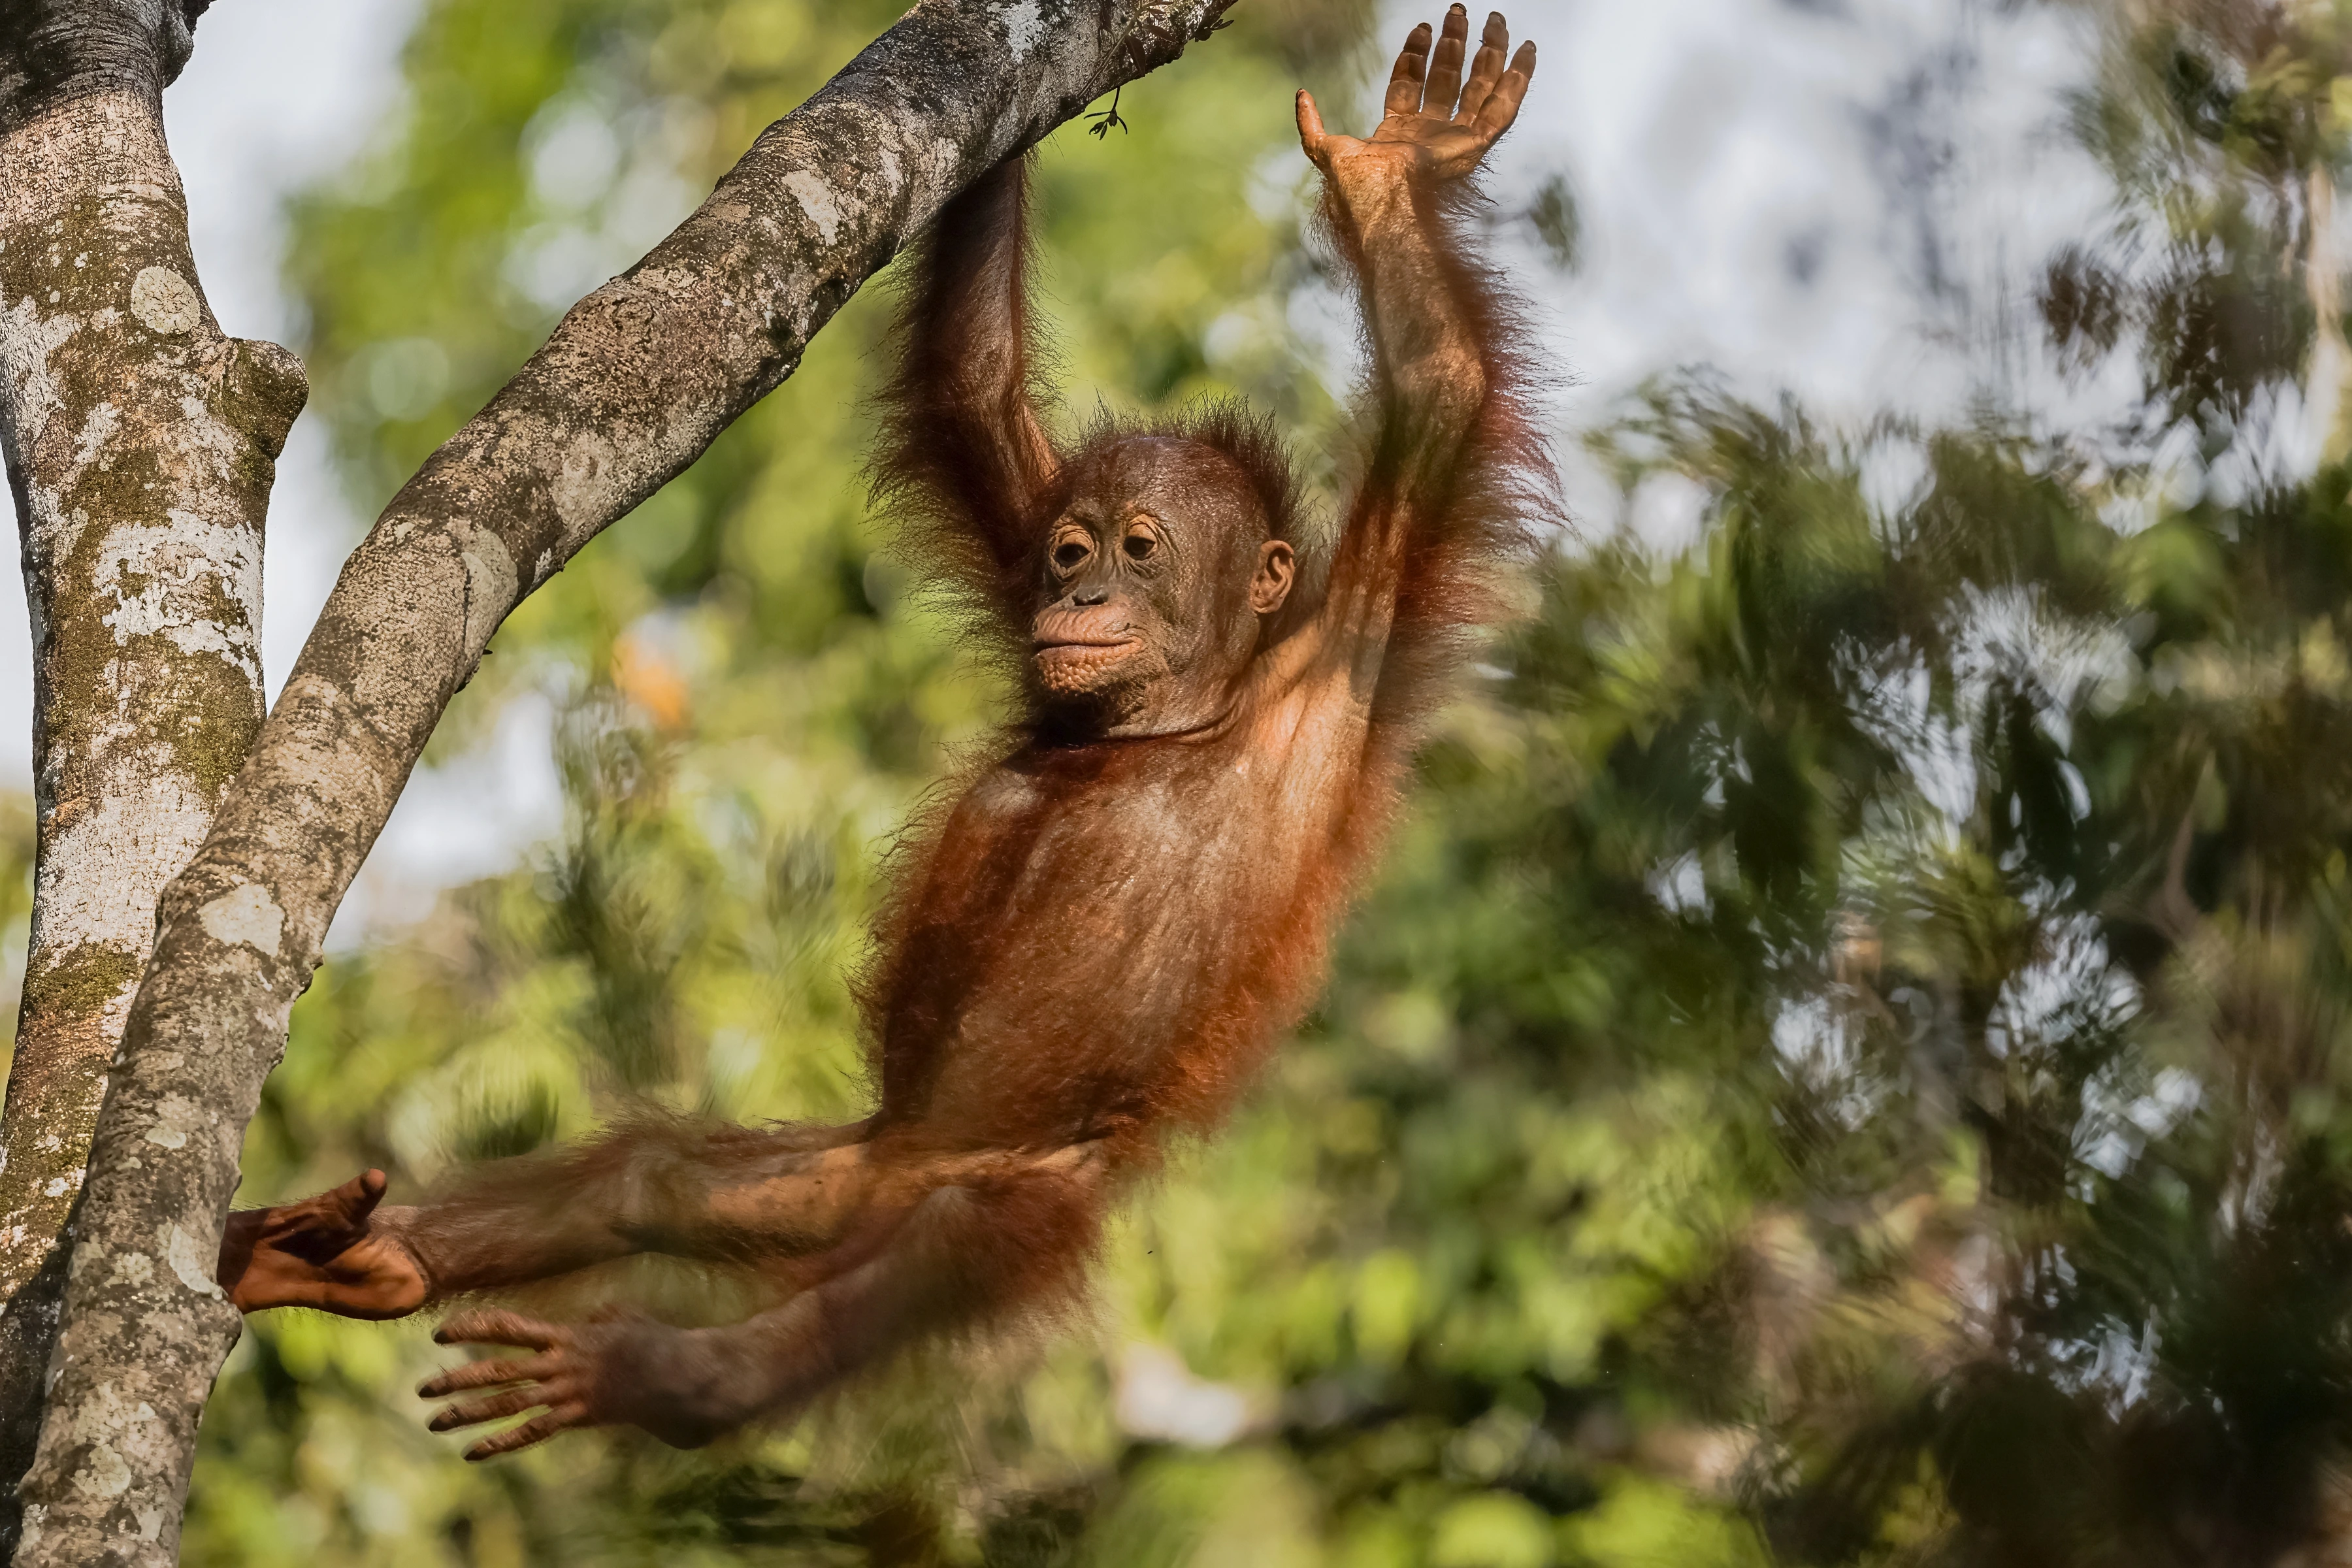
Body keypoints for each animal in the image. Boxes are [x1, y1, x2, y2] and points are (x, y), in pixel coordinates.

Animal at [217, 7, 1548, 1459]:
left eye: (1142, 553)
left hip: (1014, 1192)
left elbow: (1437, 392)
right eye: (1075, 549)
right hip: (836, 1175)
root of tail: (901, 1162)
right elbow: (973, 385)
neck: (1174, 726)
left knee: (906, 1267)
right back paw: (369, 1259)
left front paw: (1393, 178)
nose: (1082, 599)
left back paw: (664, 1379)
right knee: (658, 1181)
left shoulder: (1347, 648)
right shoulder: (1021, 525)